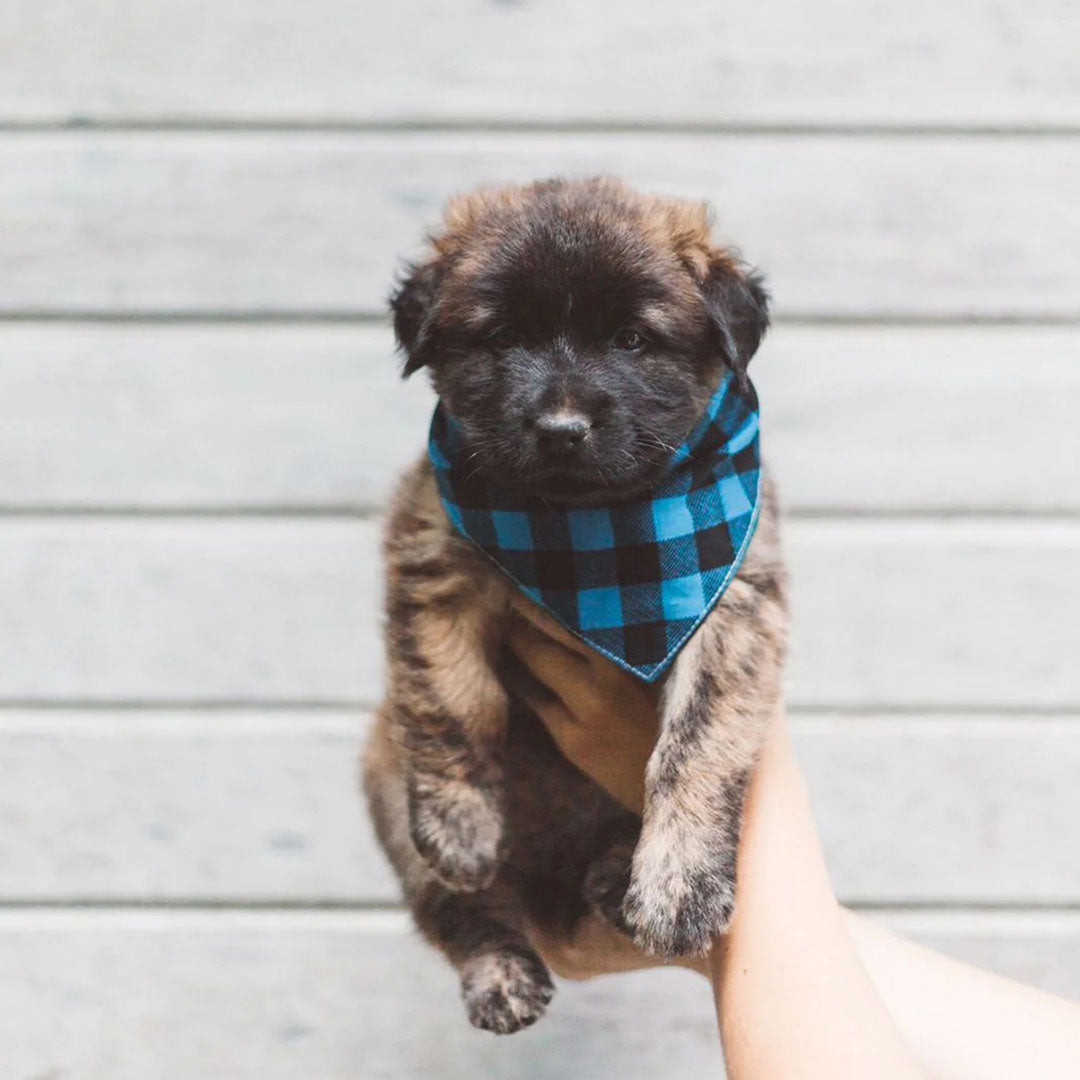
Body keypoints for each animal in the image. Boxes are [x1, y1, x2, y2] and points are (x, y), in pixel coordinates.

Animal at [362, 179, 786, 1036]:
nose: (561, 429)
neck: (587, 536)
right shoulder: (434, 563)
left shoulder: (734, 610)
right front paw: (461, 821)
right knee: (458, 912)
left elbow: (697, 747)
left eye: (631, 339)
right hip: (383, 777)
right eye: (502, 338)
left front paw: (680, 885)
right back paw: (499, 969)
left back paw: (616, 874)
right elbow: (451, 703)